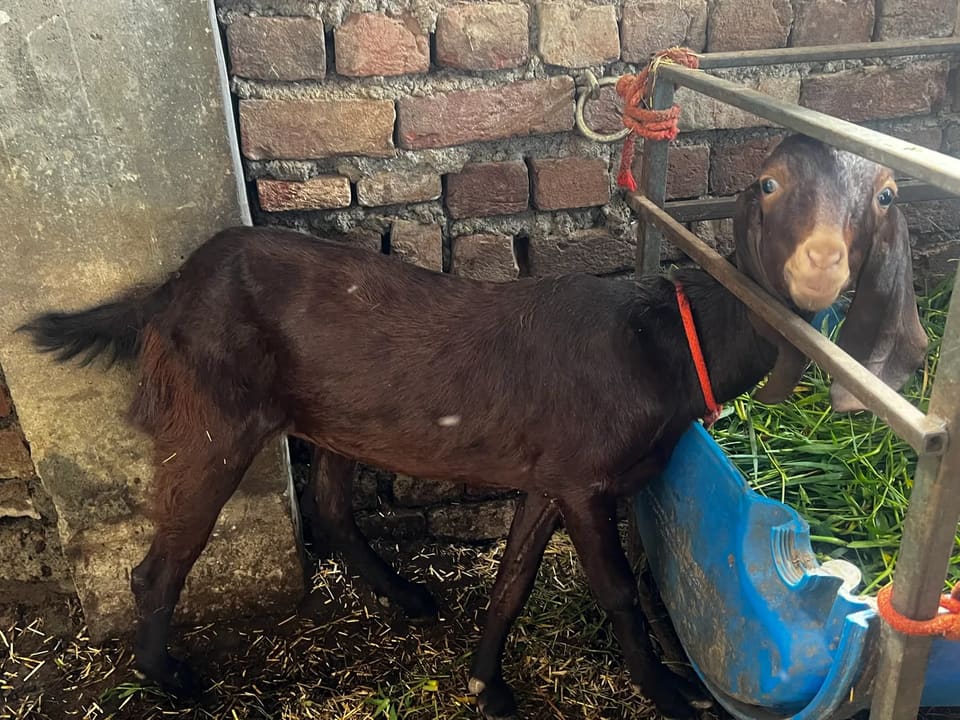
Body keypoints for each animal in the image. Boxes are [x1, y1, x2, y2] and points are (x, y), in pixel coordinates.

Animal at [19, 135, 927, 720]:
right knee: (165, 555)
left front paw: (489, 687)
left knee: (334, 508)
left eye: (885, 195)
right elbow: (618, 591)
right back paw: (169, 677)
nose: (820, 266)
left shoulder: (549, 474)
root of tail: (168, 289)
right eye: (765, 186)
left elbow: (512, 580)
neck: (666, 346)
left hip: (334, 416)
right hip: (215, 410)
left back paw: (408, 596)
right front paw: (672, 695)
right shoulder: (584, 475)